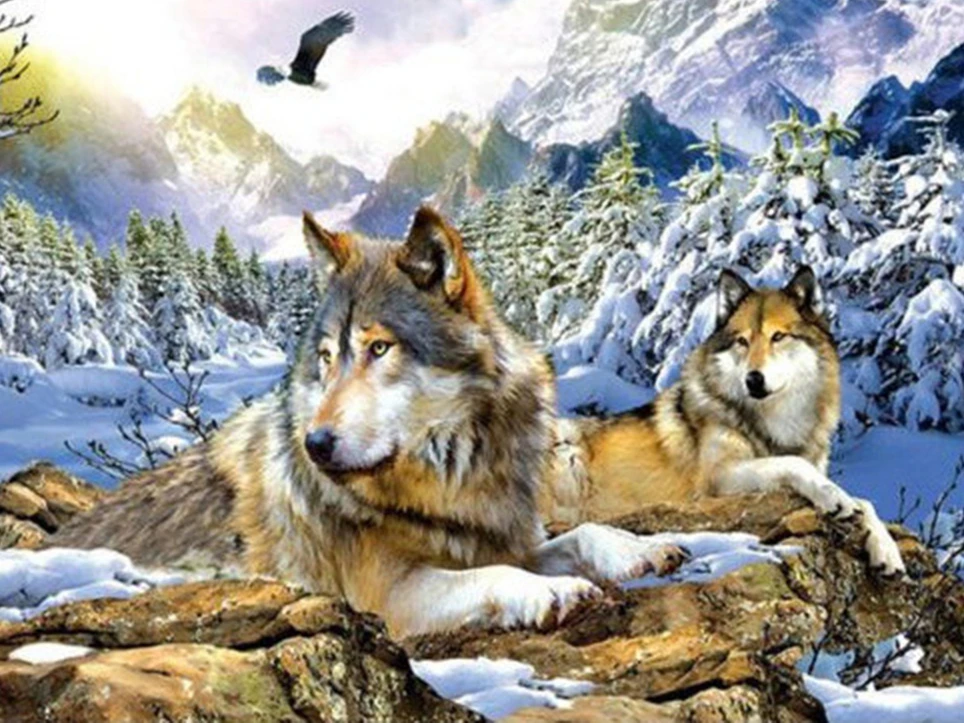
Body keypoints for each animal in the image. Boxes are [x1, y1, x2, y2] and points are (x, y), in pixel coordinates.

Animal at [51, 207, 685, 638]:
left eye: (379, 348)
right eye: (327, 357)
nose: (315, 444)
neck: (452, 478)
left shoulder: (506, 537)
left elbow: (584, 532)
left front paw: (643, 549)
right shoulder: (390, 594)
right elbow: (495, 577)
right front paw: (554, 591)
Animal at [546, 266, 905, 576]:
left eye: (778, 337)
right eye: (742, 341)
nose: (753, 379)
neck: (776, 423)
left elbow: (864, 502)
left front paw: (887, 550)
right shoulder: (718, 479)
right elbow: (794, 464)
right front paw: (832, 496)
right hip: (568, 452)